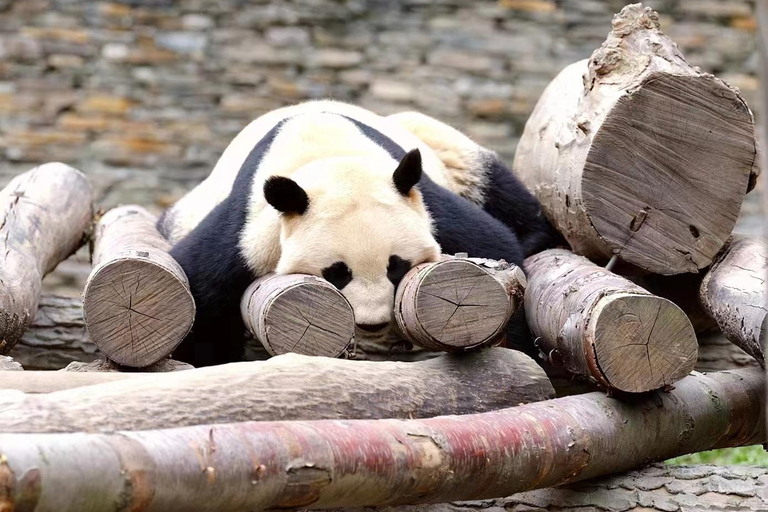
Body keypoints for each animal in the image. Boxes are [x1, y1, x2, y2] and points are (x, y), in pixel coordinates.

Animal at [160, 100, 562, 367]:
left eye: (396, 265)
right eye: (337, 273)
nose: (373, 323)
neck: (333, 159)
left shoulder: (426, 205)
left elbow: (495, 247)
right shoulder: (249, 228)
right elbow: (202, 289)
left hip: (438, 144)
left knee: (486, 176)